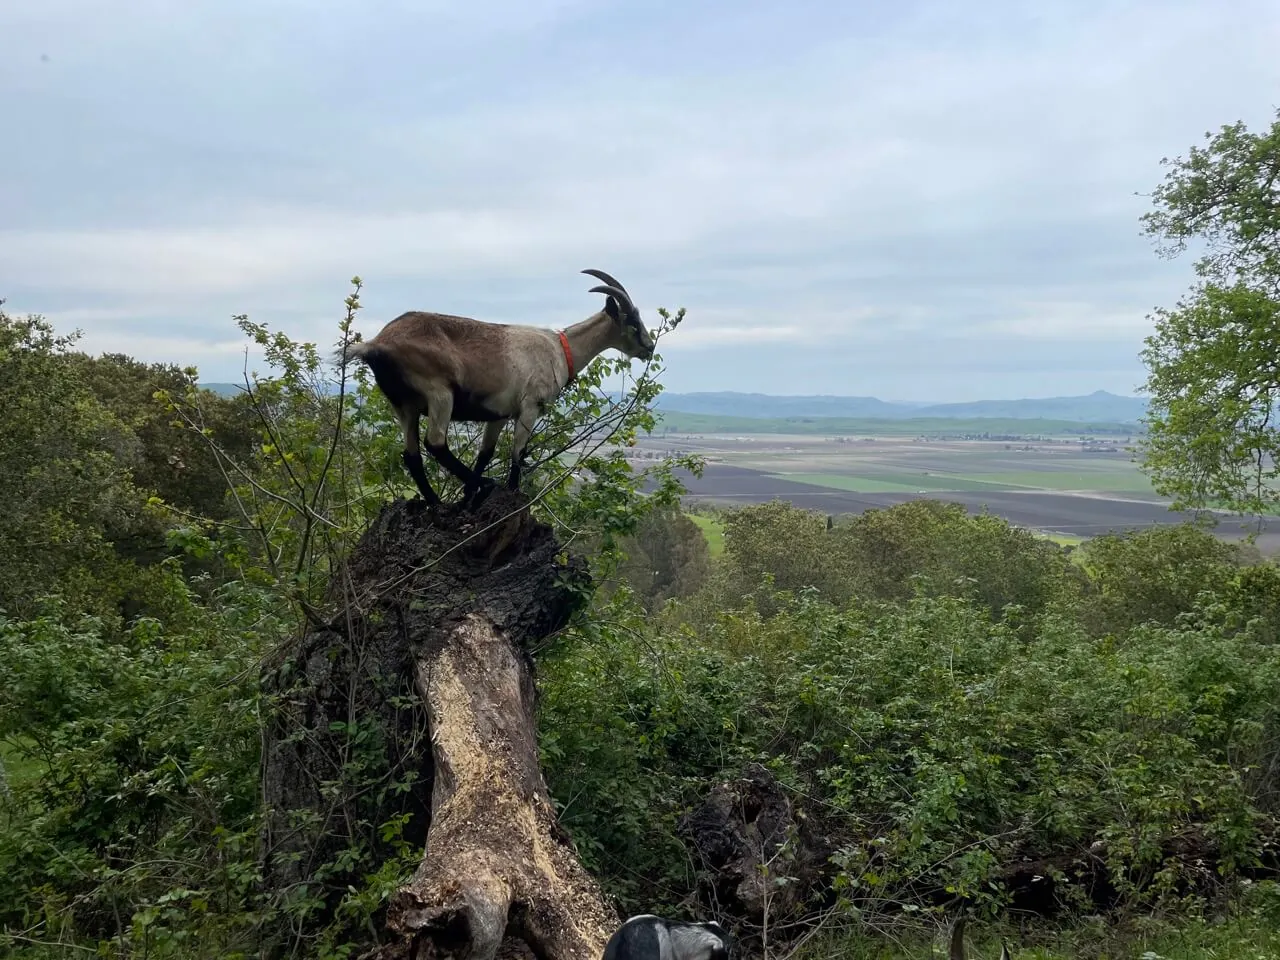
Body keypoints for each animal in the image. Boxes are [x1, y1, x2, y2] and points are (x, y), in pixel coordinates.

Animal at [339, 269, 655, 505]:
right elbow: (518, 452)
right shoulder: (529, 406)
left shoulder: (499, 413)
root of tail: (376, 344)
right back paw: (484, 484)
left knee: (412, 454)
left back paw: (438, 502)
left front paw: (467, 496)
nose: (649, 347)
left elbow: (486, 453)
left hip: (403, 405)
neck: (559, 349)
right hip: (439, 393)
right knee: (435, 443)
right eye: (632, 321)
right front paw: (512, 490)